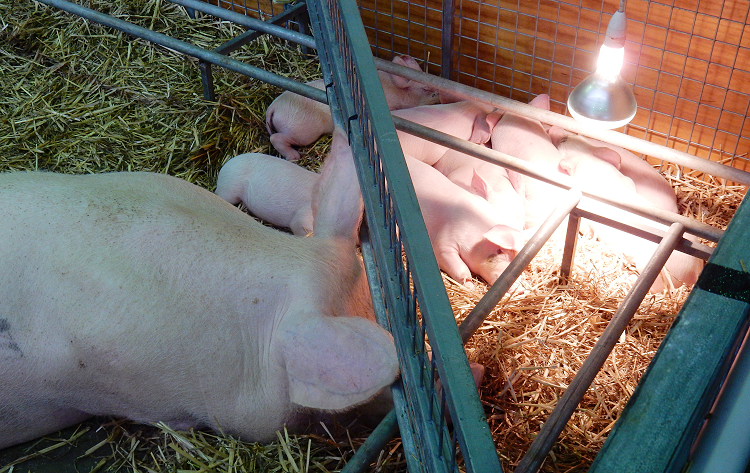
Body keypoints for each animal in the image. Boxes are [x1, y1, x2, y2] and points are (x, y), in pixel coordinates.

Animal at [268, 55, 440, 160]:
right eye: (426, 89)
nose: (440, 95)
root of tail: (274, 107)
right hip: (302, 130)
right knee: (276, 138)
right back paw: (295, 157)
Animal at [552, 128, 704, 292]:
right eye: (578, 136)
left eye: (564, 141)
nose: (555, 129)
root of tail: (695, 272)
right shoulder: (627, 180)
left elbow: (588, 230)